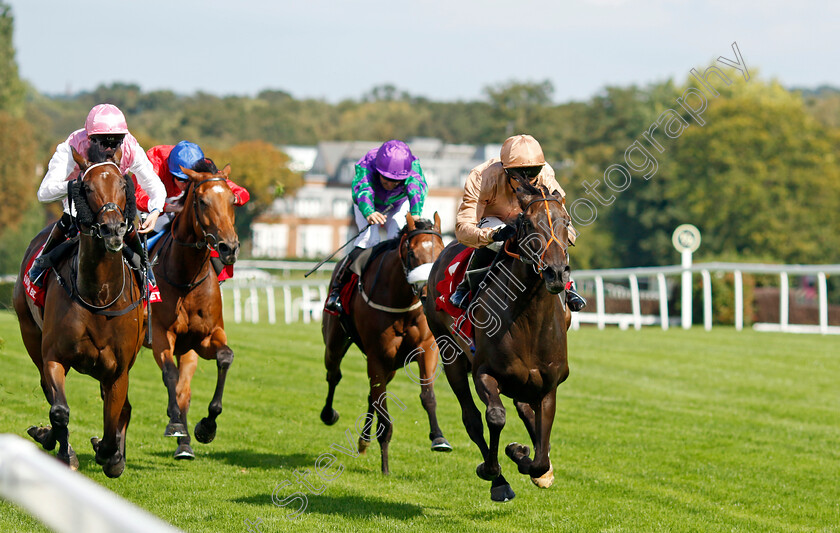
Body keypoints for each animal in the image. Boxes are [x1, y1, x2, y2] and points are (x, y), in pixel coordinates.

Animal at [12, 147, 144, 478]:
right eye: (86, 187)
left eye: (123, 185)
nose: (113, 229)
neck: (99, 294)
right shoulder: (54, 356)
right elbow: (59, 409)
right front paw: (64, 451)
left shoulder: (118, 370)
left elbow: (113, 420)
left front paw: (111, 456)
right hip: (29, 333)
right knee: (47, 390)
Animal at [147, 161, 240, 458]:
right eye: (202, 201)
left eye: (232, 200)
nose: (229, 247)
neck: (186, 279)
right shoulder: (161, 334)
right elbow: (169, 374)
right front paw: (175, 421)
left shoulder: (204, 338)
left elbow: (225, 357)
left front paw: (207, 426)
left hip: (187, 349)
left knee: (184, 390)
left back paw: (185, 445)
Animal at [322, 212, 452, 474]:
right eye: (412, 254)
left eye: (441, 252)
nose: (427, 292)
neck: (402, 302)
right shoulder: (377, 355)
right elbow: (383, 409)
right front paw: (385, 466)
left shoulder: (427, 347)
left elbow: (428, 396)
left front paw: (438, 438)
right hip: (335, 343)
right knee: (334, 375)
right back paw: (329, 415)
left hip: (391, 366)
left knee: (371, 395)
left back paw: (364, 440)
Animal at [424, 183, 576, 498]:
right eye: (527, 224)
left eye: (566, 221)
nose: (556, 272)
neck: (529, 322)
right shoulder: (484, 372)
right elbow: (494, 417)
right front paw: (495, 471)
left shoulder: (549, 386)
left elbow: (541, 458)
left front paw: (525, 456)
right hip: (449, 353)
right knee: (471, 419)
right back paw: (498, 478)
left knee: (523, 410)